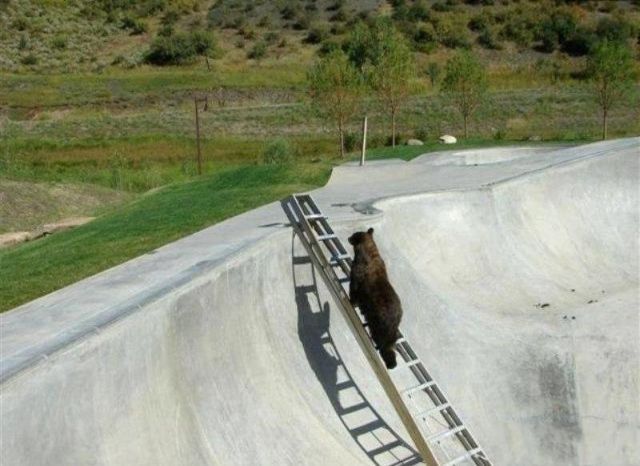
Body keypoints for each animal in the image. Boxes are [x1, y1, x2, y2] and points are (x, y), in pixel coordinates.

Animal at [348, 227, 403, 369]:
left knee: (384, 345)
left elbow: (354, 289)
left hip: (379, 323)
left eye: (354, 234)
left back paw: (389, 361)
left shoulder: (358, 275)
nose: (348, 237)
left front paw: (352, 302)